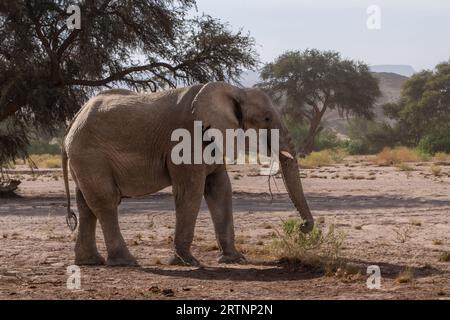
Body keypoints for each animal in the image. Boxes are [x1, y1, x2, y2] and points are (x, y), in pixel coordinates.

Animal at [63, 81, 314, 266]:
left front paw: (234, 259)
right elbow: (191, 191)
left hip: (83, 157)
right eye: (267, 119)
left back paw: (90, 262)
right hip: (90, 154)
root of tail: (74, 118)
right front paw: (188, 262)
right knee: (106, 201)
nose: (302, 227)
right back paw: (126, 262)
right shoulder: (187, 138)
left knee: (86, 204)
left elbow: (220, 188)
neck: (235, 90)